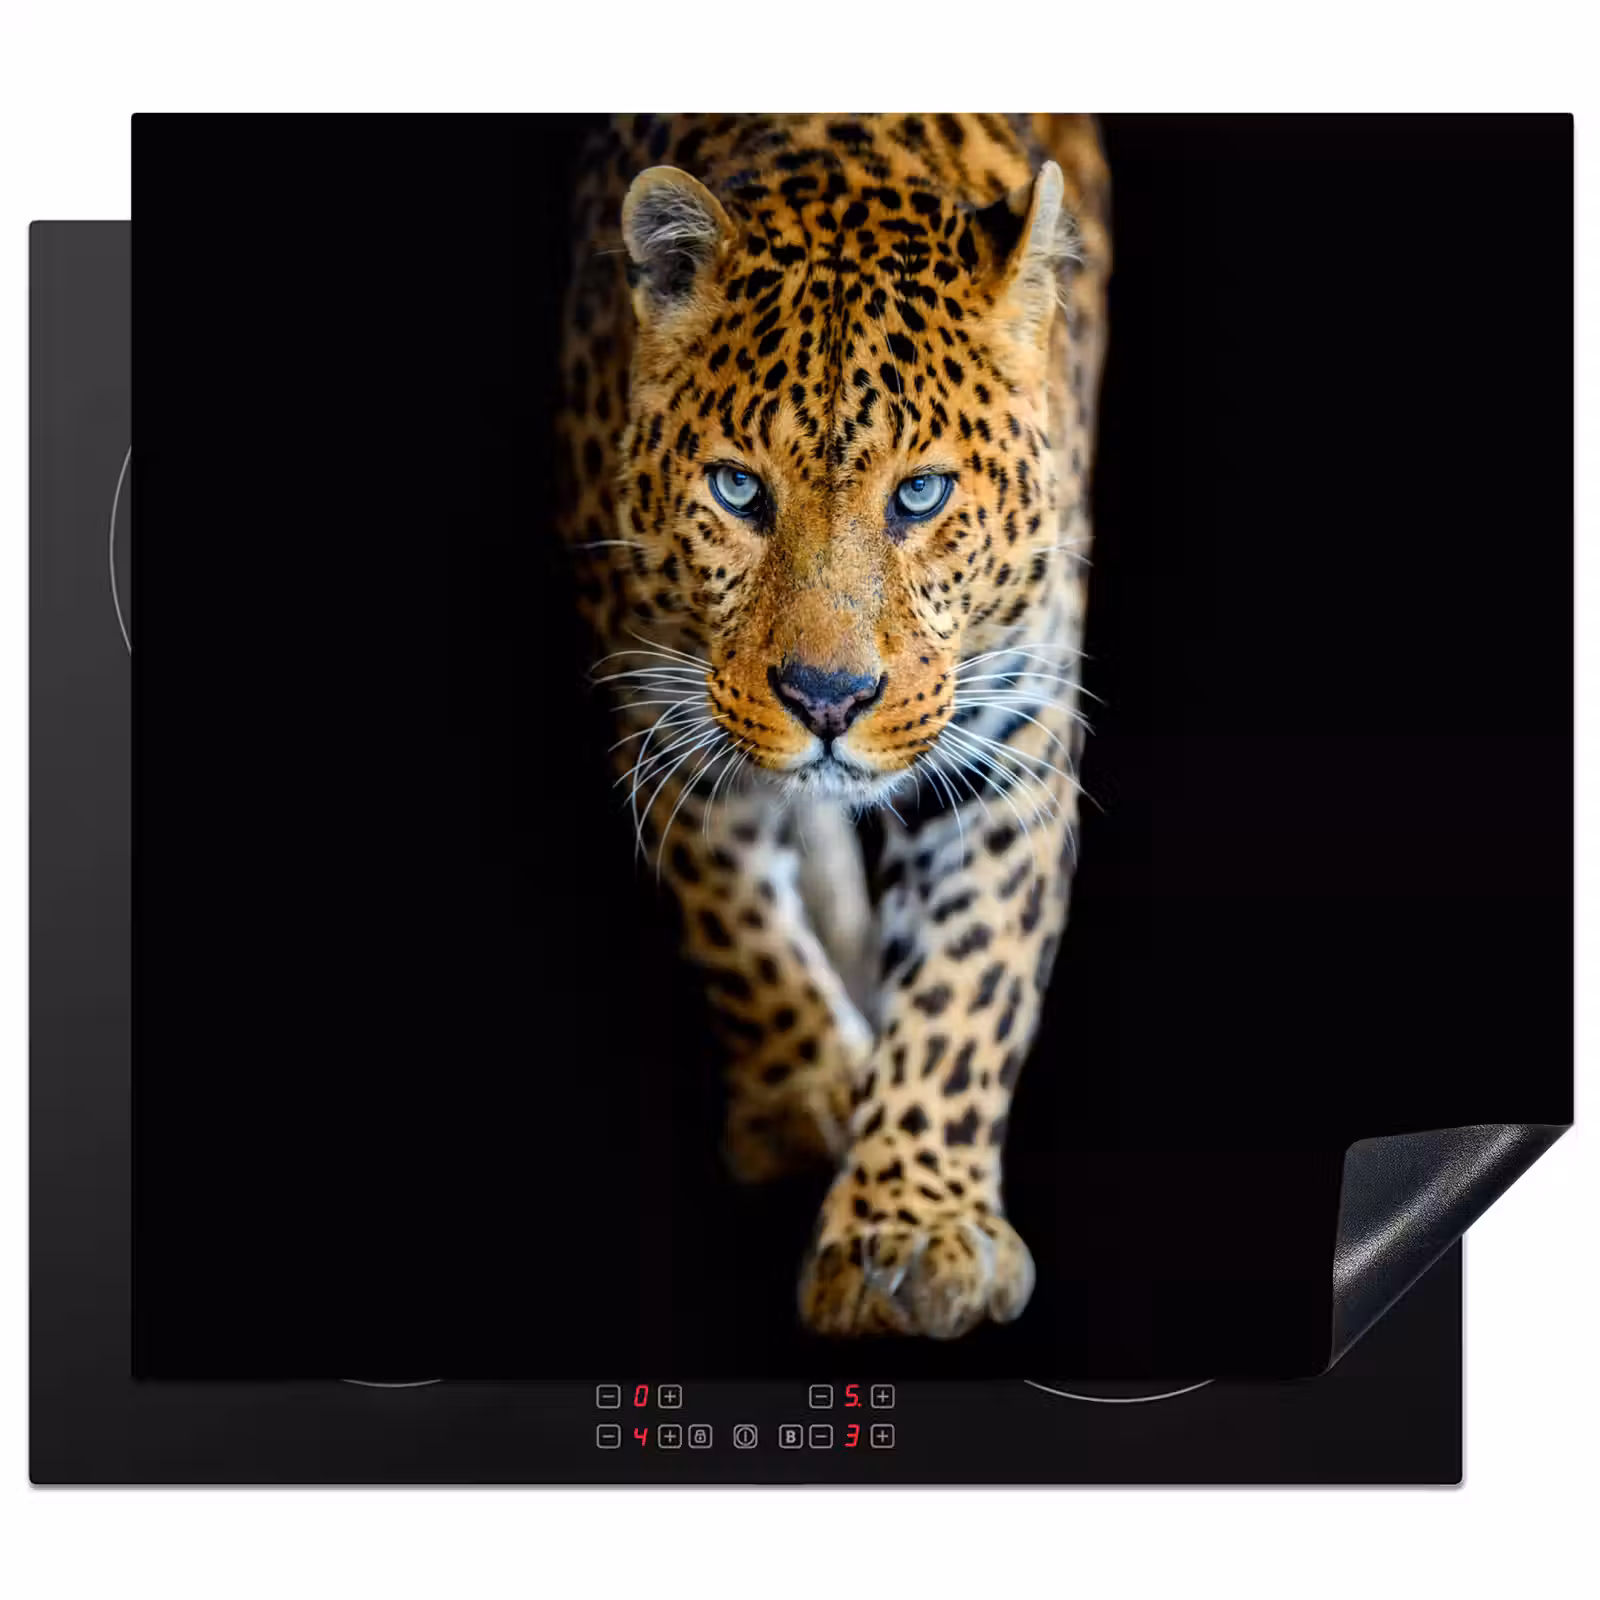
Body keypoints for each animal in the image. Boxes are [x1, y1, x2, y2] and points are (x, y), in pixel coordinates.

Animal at [555, 113, 1110, 1340]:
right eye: (737, 491)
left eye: (920, 497)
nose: (825, 698)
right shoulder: (658, 697)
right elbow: (731, 916)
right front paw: (803, 1090)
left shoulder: (1012, 738)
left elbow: (967, 984)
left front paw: (911, 1226)